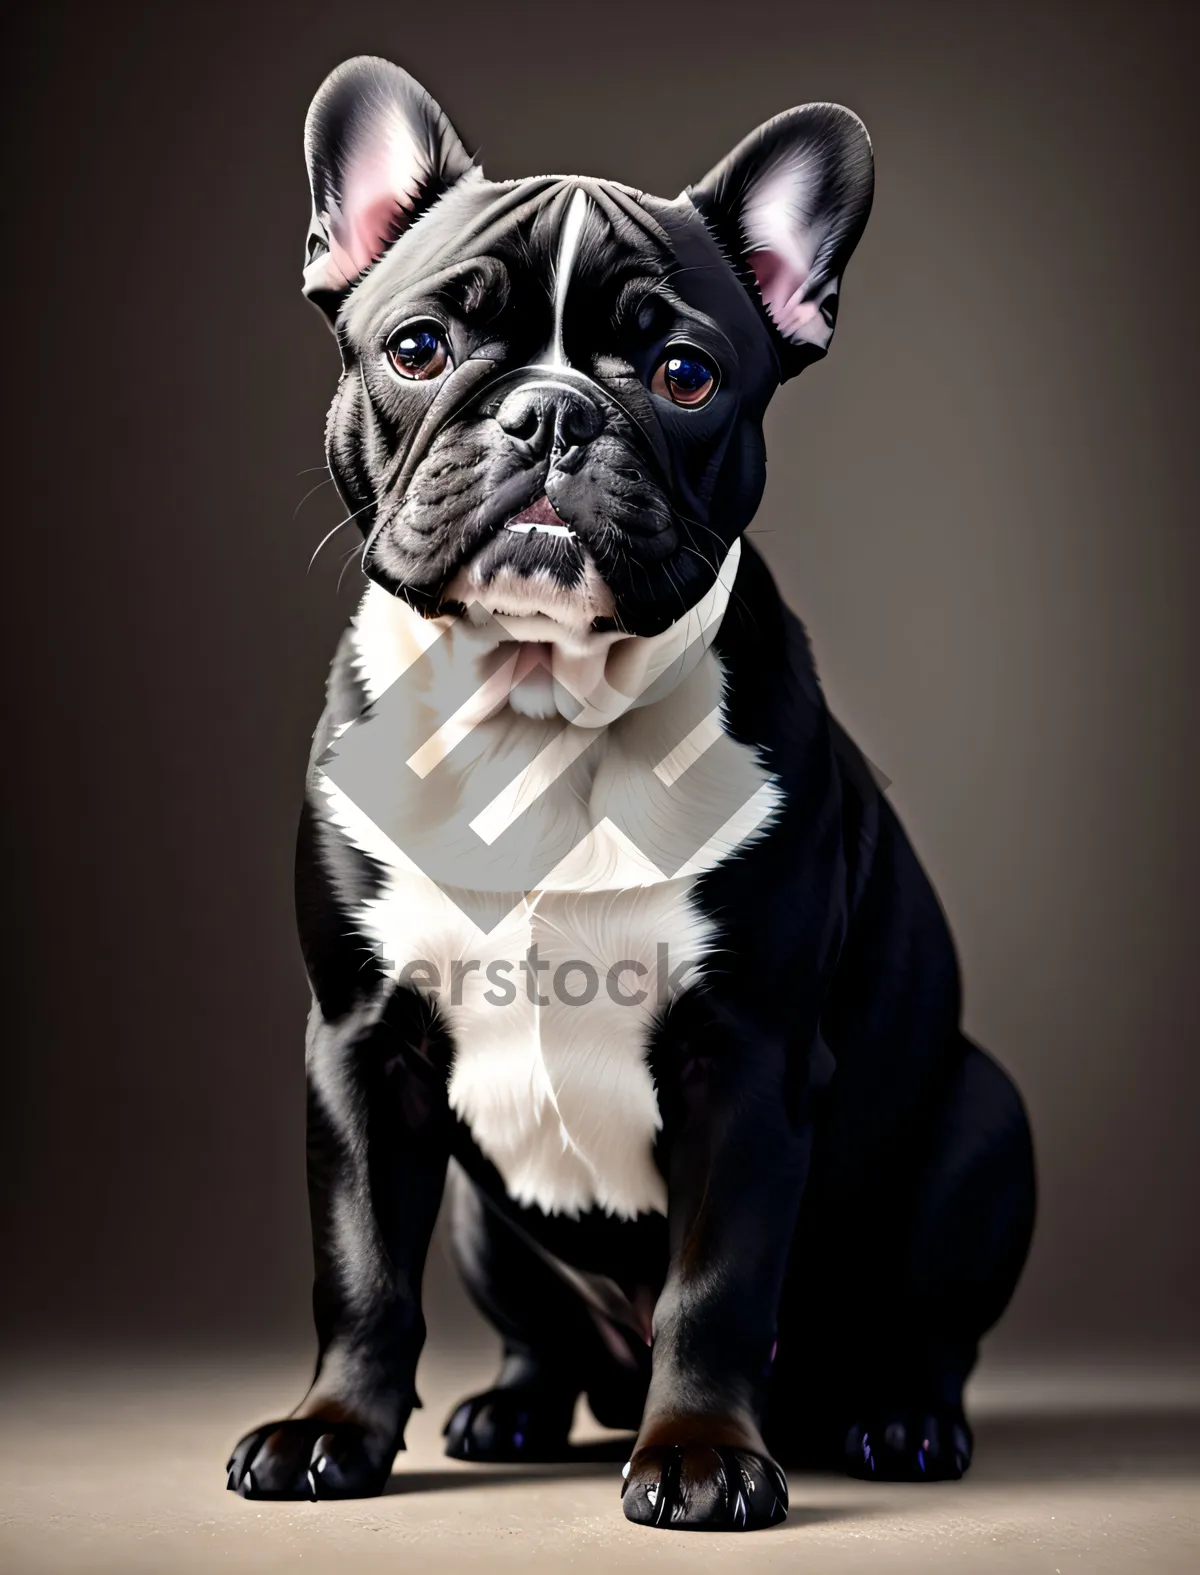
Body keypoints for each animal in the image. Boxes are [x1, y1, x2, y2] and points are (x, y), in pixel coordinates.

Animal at [228, 58, 1033, 1524]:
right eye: (419, 348)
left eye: (685, 375)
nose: (549, 411)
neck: (539, 713)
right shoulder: (359, 1045)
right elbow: (360, 1262)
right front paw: (331, 1429)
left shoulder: (748, 1060)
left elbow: (716, 1283)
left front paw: (702, 1452)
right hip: (486, 1223)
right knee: (537, 1326)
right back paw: (515, 1408)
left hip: (984, 1125)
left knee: (927, 1333)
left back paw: (899, 1420)